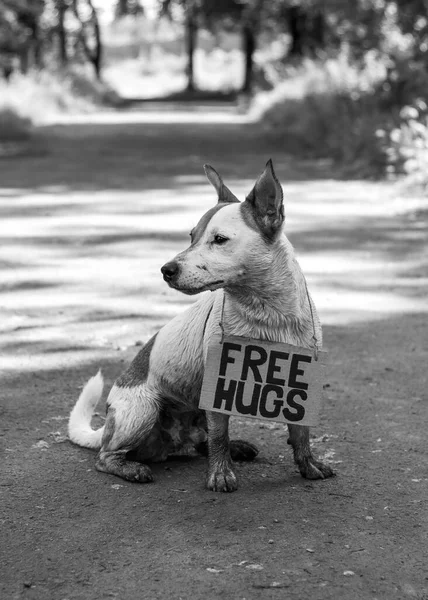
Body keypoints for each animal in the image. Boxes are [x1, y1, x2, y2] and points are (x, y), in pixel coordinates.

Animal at [68, 161, 334, 492]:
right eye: (191, 236)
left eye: (219, 239)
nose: (166, 270)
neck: (267, 313)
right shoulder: (218, 385)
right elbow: (219, 435)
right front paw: (220, 475)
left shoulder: (302, 379)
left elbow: (301, 433)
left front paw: (308, 465)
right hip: (142, 411)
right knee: (106, 457)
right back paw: (131, 467)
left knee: (201, 442)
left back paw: (235, 447)